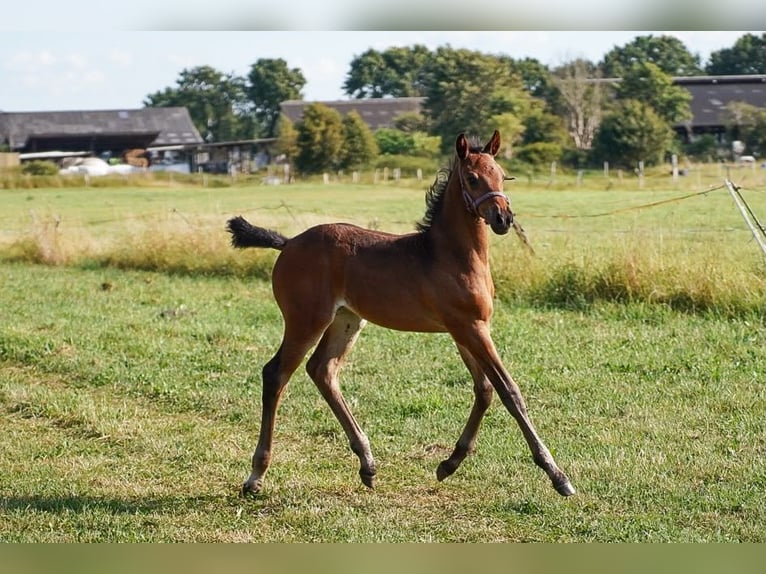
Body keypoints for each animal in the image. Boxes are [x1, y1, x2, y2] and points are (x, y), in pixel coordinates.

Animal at [227, 130, 575, 497]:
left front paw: (449, 464)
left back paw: (367, 464)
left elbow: (484, 390)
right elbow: (509, 390)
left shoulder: (466, 330)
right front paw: (557, 474)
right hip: (305, 320)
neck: (449, 255)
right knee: (276, 373)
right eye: (472, 178)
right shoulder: (471, 327)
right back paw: (256, 475)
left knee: (323, 370)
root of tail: (289, 242)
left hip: (347, 320)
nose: (503, 219)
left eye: (502, 175)